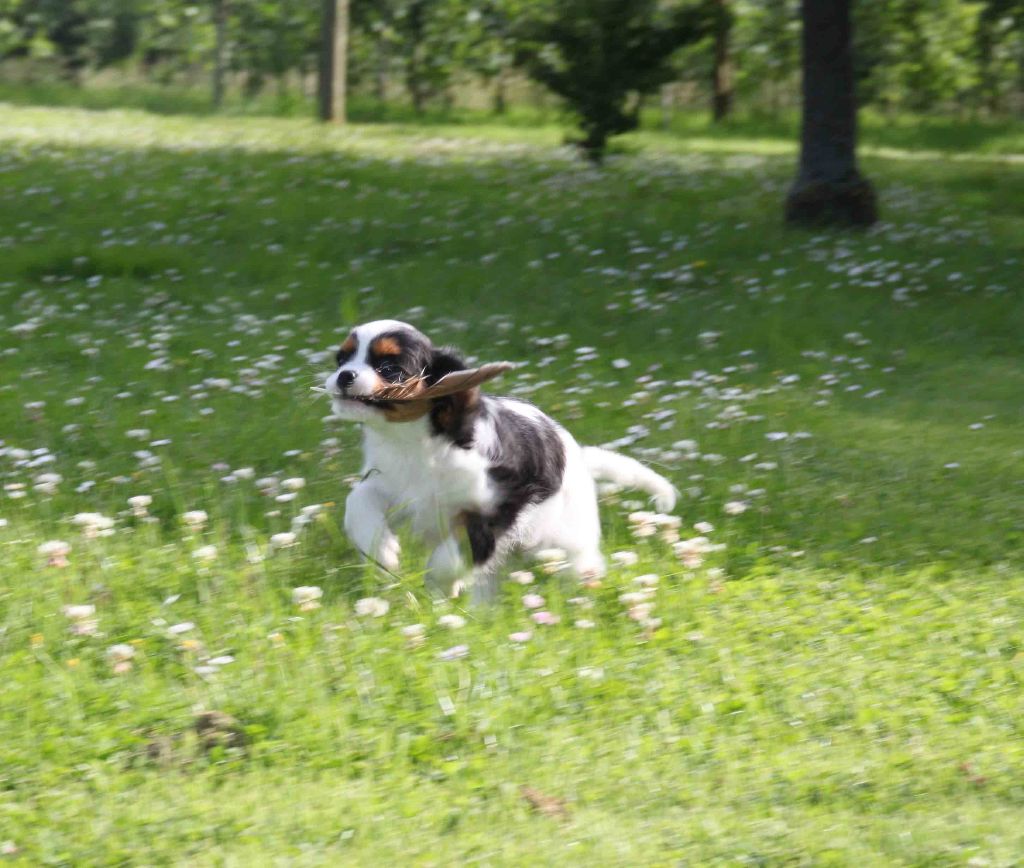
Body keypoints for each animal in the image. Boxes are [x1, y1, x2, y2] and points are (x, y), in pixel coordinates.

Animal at [327, 321, 675, 601]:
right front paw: (380, 549)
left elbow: (457, 551)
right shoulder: (388, 483)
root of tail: (580, 457)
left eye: (389, 368)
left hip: (568, 540)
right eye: (342, 359)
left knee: (581, 565)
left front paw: (440, 582)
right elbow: (357, 500)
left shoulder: (500, 504)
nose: (344, 375)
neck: (413, 442)